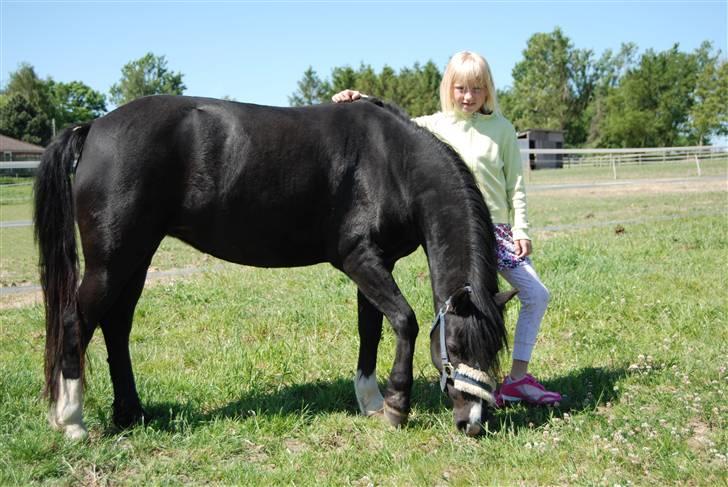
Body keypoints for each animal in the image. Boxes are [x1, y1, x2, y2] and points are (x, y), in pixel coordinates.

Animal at [35, 94, 512, 438]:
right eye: (459, 346)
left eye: (493, 352)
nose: (472, 423)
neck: (392, 161)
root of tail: (93, 127)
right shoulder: (359, 259)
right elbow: (405, 321)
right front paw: (396, 406)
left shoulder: (376, 263)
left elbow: (372, 329)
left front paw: (371, 402)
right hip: (110, 262)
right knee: (77, 322)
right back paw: (72, 422)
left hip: (136, 258)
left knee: (117, 327)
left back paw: (130, 414)